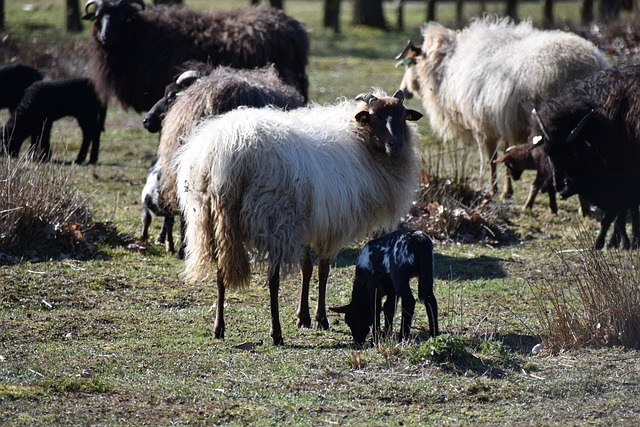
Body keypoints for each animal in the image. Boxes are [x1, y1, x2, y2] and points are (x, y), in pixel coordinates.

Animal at [176, 89, 424, 344]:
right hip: (275, 219)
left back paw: (219, 328)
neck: (360, 141)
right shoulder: (331, 227)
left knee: (220, 274)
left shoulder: (310, 223)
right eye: (374, 117)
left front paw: (303, 317)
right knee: (273, 281)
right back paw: (276, 333)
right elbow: (323, 272)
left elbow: (307, 268)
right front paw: (320, 319)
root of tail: (228, 155)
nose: (396, 145)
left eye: (402, 116)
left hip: (210, 220)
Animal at [396, 15, 608, 198]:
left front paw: (495, 190)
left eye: (411, 64)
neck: (447, 65)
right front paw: (506, 190)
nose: (403, 89)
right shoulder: (503, 119)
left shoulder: (485, 123)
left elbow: (492, 159)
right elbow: (506, 153)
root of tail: (591, 63)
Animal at [532, 65, 640, 249]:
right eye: (547, 151)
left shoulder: (625, 170)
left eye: (574, 152)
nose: (559, 186)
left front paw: (621, 241)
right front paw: (621, 241)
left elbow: (624, 210)